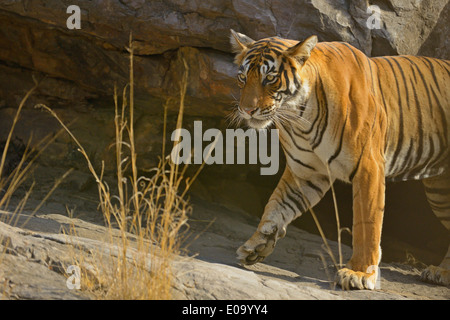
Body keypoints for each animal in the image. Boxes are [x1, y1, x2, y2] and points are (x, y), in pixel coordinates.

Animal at [230, 29, 448, 290]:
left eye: (270, 78)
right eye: (242, 78)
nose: (246, 110)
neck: (299, 118)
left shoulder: (368, 167)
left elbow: (366, 224)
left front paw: (359, 274)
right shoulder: (307, 172)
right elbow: (276, 205)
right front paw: (257, 245)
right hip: (439, 191)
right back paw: (442, 272)